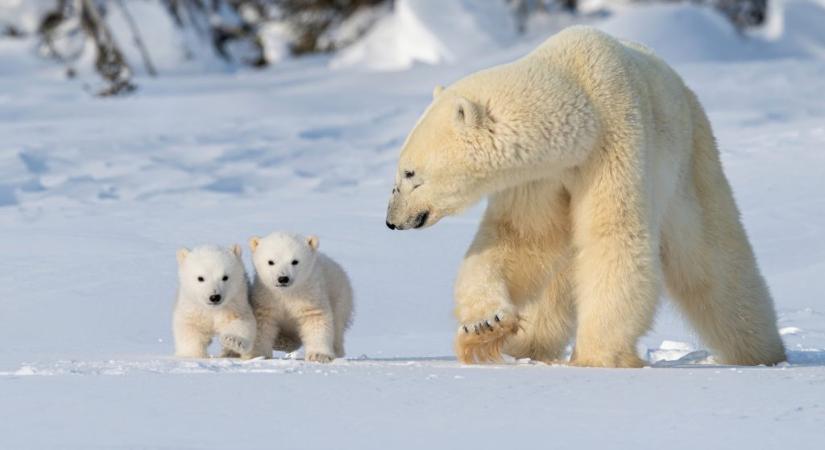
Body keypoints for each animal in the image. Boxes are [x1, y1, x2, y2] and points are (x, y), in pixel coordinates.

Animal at [386, 26, 784, 368]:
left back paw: (762, 352)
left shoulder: (615, 141)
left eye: (410, 174)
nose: (392, 220)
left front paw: (595, 357)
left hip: (690, 162)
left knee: (713, 260)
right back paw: (526, 346)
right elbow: (522, 237)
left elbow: (615, 237)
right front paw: (485, 325)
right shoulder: (541, 177)